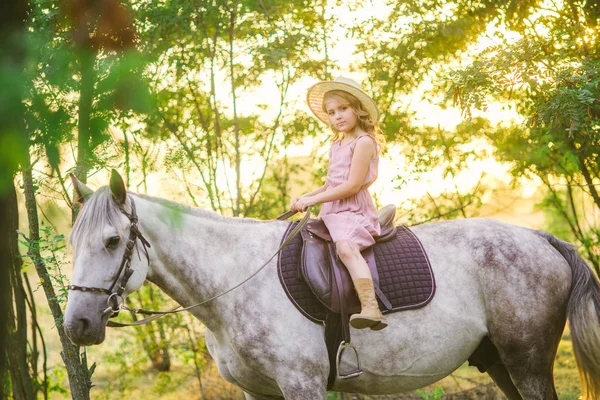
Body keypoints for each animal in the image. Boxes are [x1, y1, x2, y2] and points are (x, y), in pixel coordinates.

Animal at [64, 173, 600, 400]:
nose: (78, 325)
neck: (233, 283)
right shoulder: (259, 393)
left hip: (527, 361)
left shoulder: (302, 386)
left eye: (112, 241)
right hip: (500, 363)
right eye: (71, 241)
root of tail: (542, 238)